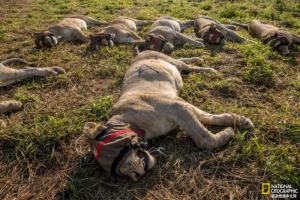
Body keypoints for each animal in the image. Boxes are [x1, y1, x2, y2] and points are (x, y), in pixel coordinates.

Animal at [82, 50, 253, 181]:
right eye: (117, 171)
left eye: (115, 153)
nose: (136, 176)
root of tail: (142, 51)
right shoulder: (182, 105)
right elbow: (208, 118)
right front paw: (241, 121)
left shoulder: (176, 107)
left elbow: (203, 139)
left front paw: (231, 131)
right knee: (182, 61)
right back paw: (199, 59)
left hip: (169, 61)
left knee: (185, 64)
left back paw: (208, 68)